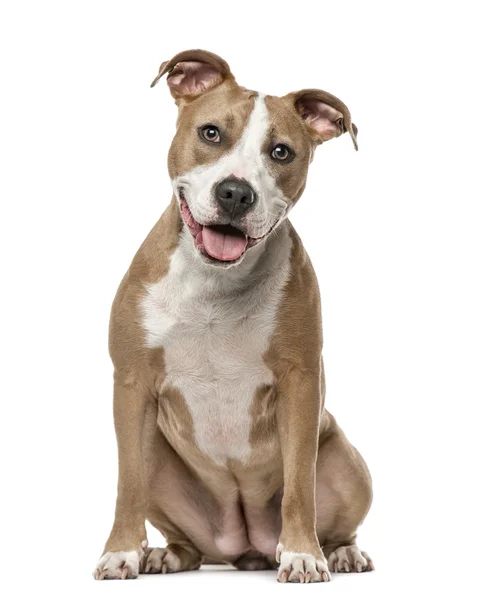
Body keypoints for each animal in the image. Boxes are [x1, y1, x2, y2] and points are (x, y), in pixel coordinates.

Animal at [94, 49, 376, 584]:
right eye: (210, 133)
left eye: (281, 152)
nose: (235, 193)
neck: (213, 284)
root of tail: (243, 546)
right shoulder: (132, 383)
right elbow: (126, 483)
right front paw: (121, 552)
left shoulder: (299, 383)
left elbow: (299, 484)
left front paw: (303, 554)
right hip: (164, 464)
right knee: (184, 536)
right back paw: (166, 555)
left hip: (349, 466)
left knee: (334, 515)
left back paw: (341, 553)